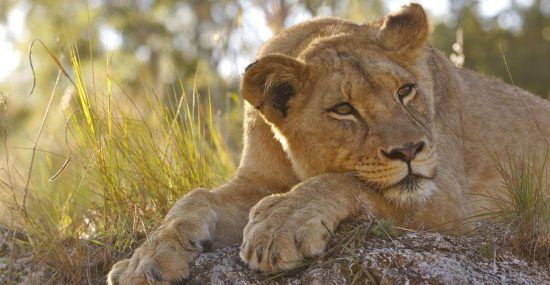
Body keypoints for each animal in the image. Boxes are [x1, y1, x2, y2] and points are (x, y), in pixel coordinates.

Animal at [109, 3, 550, 282]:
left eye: (405, 91)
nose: (410, 151)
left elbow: (348, 182)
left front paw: (280, 224)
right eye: (343, 109)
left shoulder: (452, 204)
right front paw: (143, 261)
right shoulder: (255, 181)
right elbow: (194, 198)